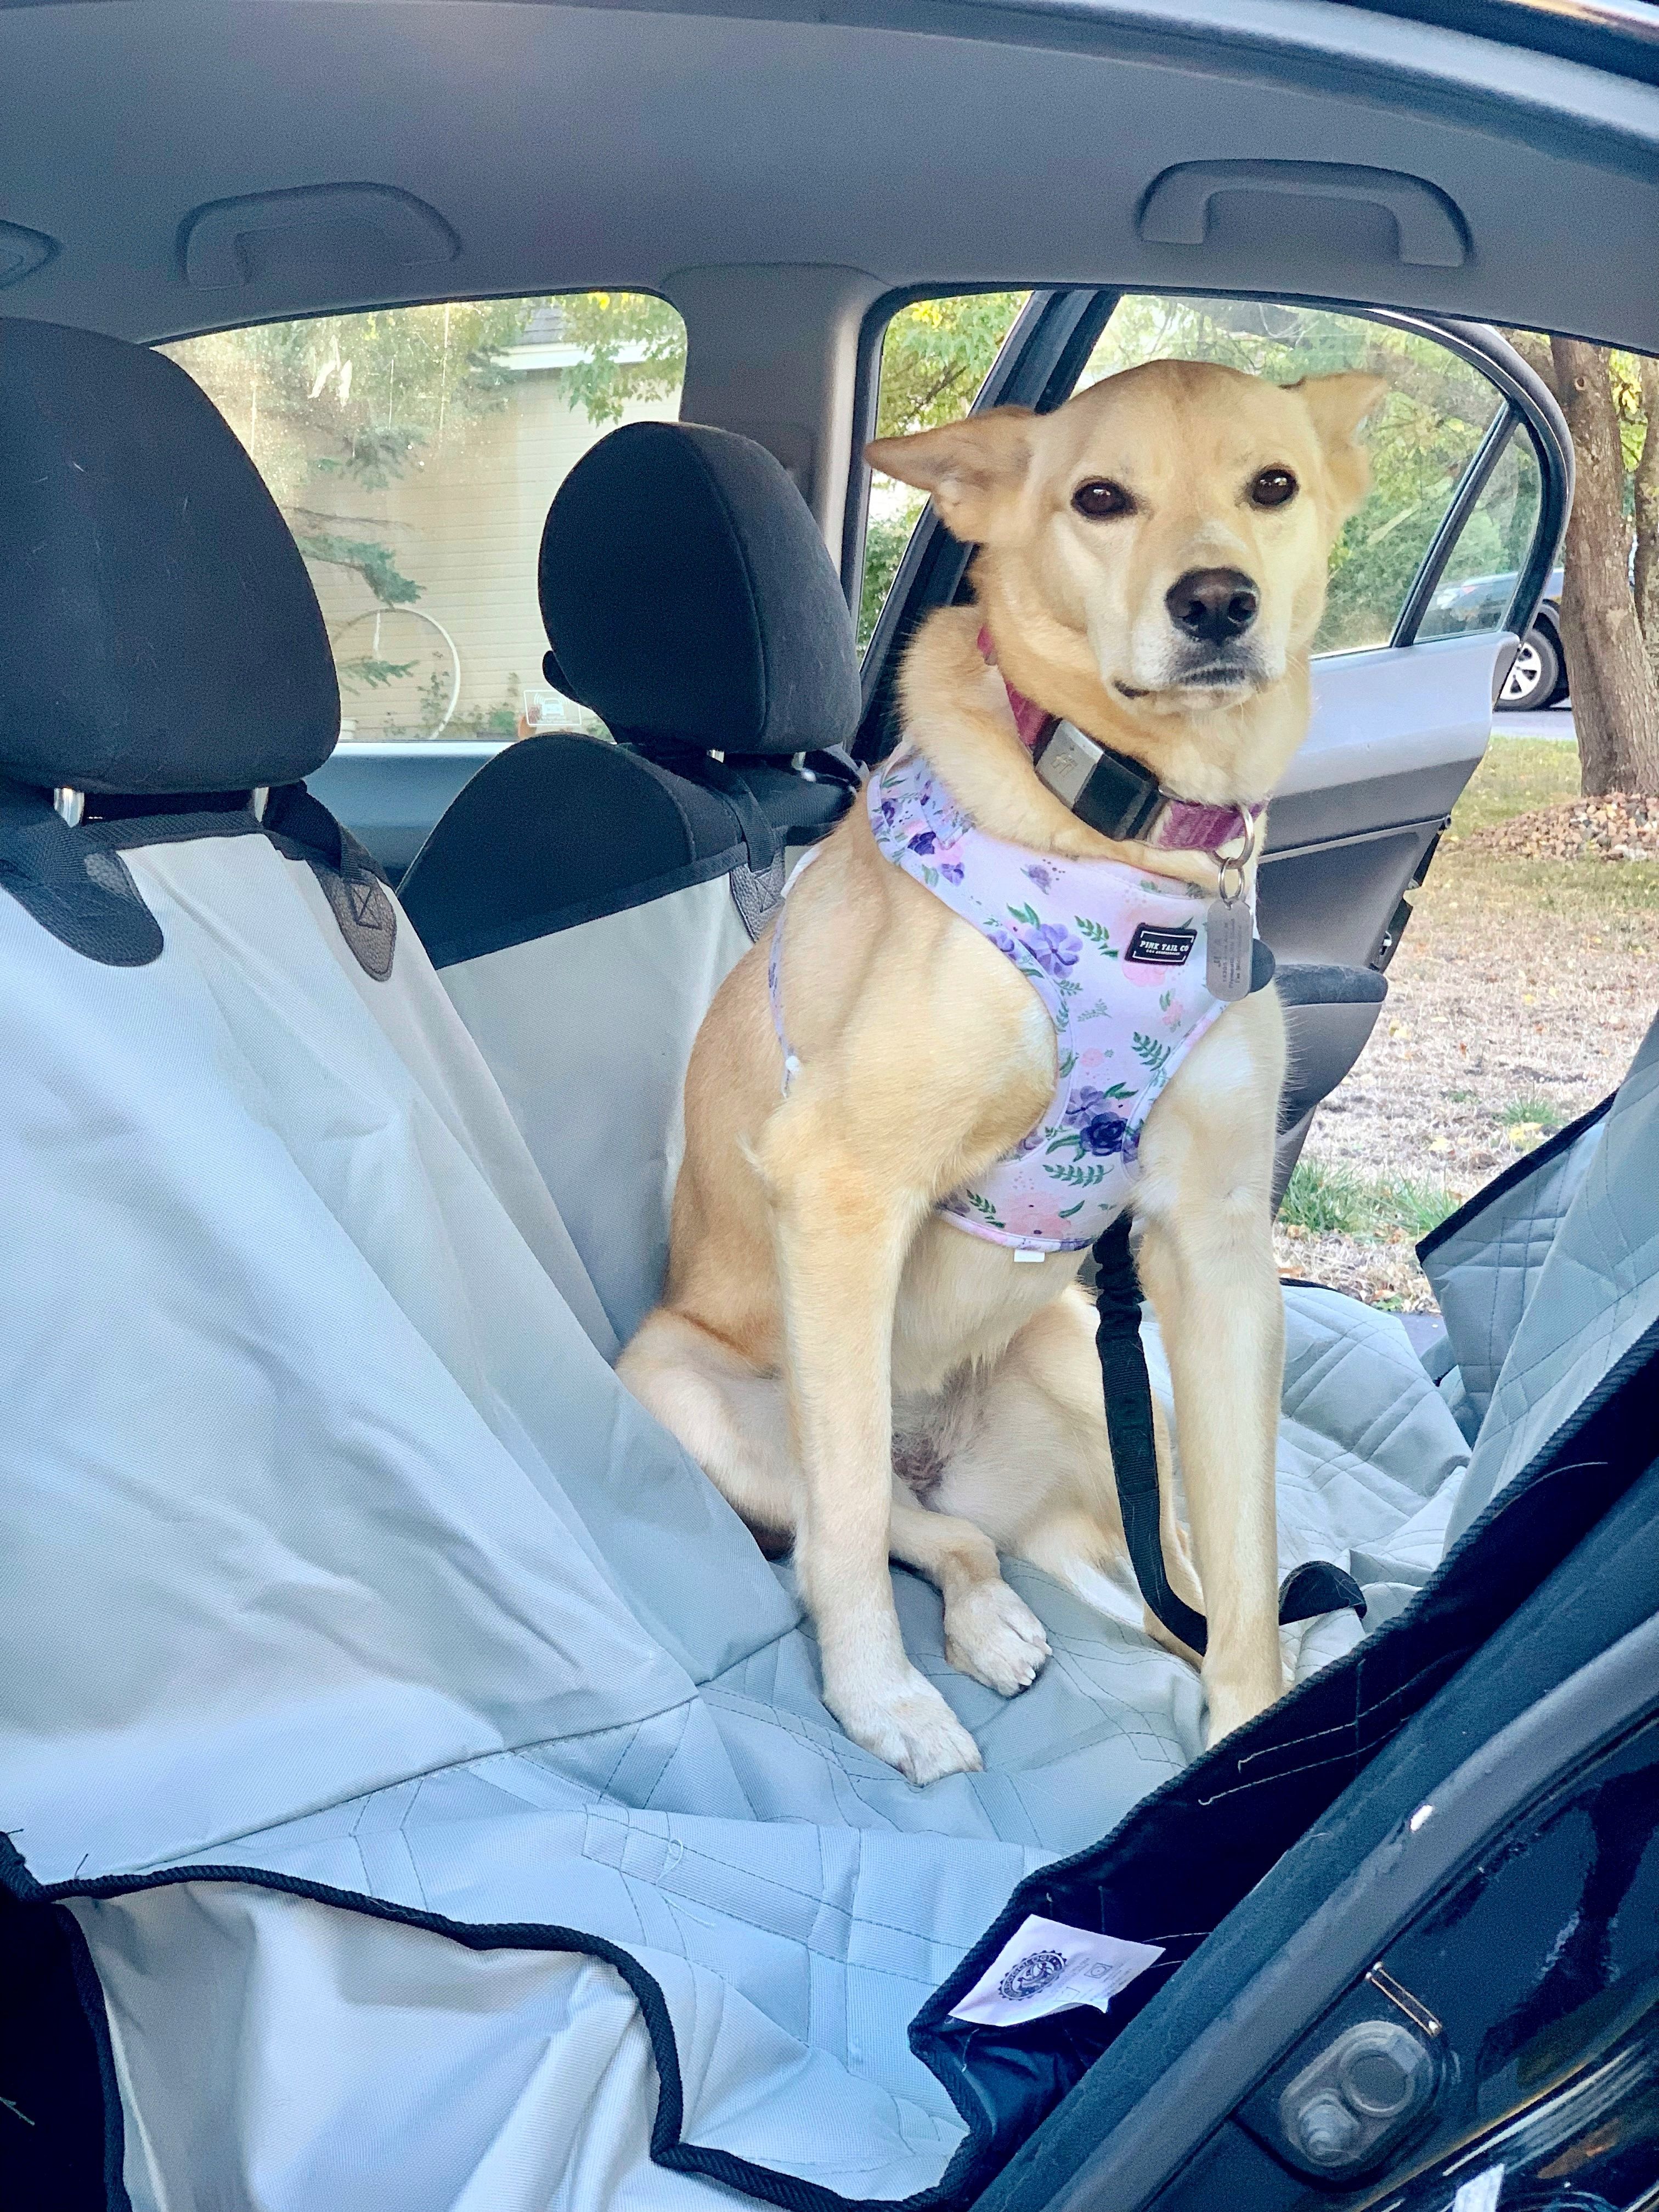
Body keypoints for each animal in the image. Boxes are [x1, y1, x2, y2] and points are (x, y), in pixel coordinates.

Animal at [619, 358, 1380, 1778]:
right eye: (1100, 498)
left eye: (1273, 485)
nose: (1217, 601)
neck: (1131, 839)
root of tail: (944, 1443)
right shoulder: (842, 1186)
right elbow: (846, 1530)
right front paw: (877, 1698)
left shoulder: (1219, 1254)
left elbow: (1245, 1560)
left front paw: (1249, 1730)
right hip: (691, 1393)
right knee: (881, 1522)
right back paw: (965, 1639)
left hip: (1096, 1370)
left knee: (1141, 1565)